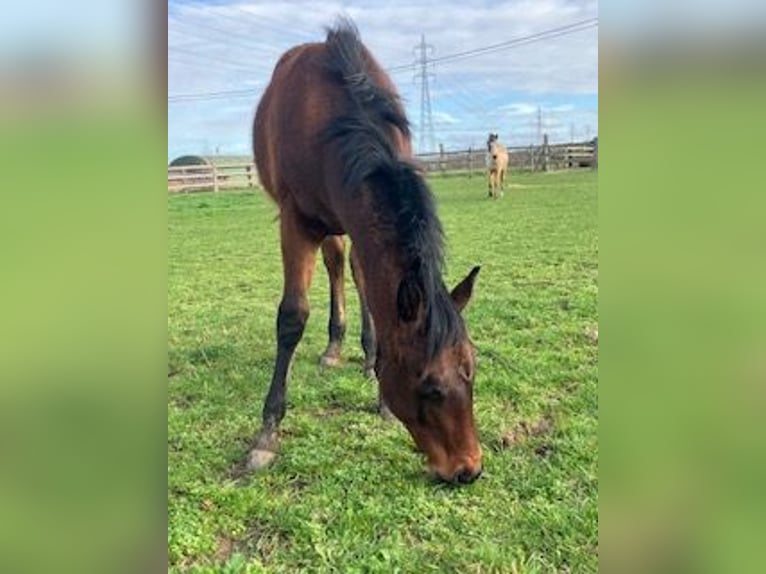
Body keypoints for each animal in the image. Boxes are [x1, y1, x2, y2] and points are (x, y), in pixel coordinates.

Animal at [249, 19, 483, 484]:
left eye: (472, 370)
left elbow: (373, 295)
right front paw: (267, 434)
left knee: (351, 272)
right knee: (336, 266)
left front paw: (379, 389)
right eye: (429, 386)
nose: (470, 469)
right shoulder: (295, 220)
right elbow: (292, 317)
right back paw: (333, 347)